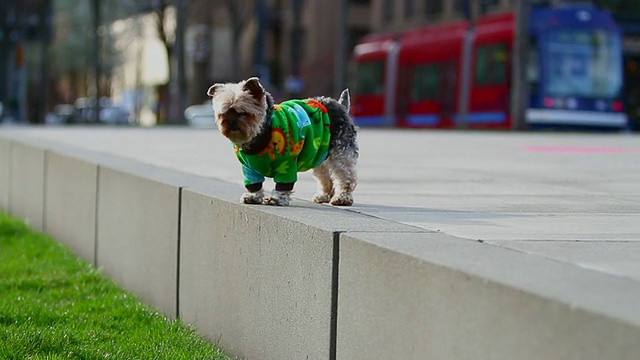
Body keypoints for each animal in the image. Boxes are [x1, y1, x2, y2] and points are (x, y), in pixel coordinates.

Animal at [211, 77, 358, 207]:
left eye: (243, 113)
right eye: (223, 114)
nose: (230, 123)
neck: (262, 132)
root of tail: (340, 106)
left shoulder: (286, 163)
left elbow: (283, 184)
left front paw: (276, 199)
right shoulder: (249, 168)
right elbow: (254, 183)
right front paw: (253, 196)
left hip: (340, 154)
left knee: (345, 176)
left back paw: (342, 198)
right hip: (318, 154)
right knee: (325, 176)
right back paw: (323, 196)